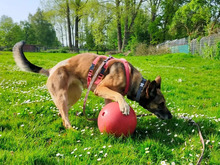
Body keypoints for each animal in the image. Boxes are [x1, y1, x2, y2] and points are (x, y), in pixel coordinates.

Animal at [12, 41, 173, 129]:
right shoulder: (101, 88)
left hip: (75, 94)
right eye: (161, 103)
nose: (171, 116)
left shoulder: (107, 96)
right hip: (62, 95)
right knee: (65, 119)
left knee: (63, 112)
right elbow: (119, 95)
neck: (135, 82)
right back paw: (73, 130)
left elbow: (111, 101)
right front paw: (124, 106)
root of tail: (51, 70)